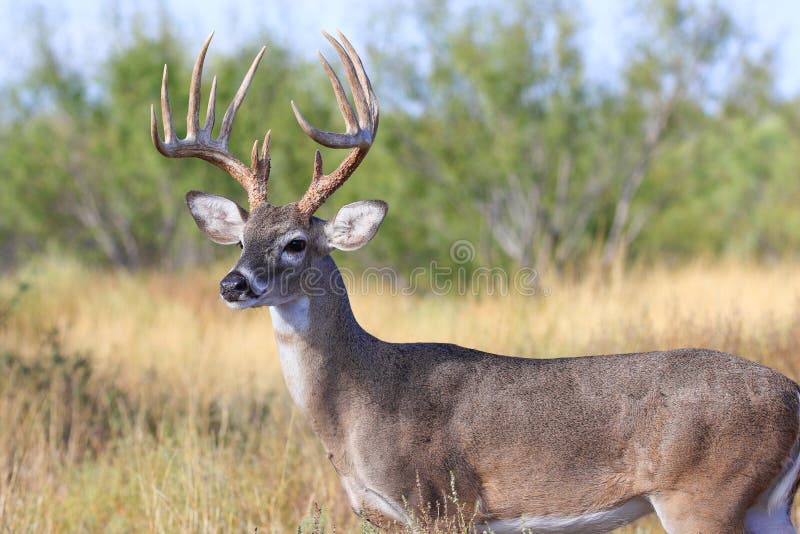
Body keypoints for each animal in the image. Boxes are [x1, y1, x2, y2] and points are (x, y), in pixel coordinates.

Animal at [152, 33, 800, 534]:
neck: (357, 402)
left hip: (703, 496)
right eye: (241, 239)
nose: (233, 284)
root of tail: (794, 394)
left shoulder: (444, 501)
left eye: (295, 243)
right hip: (763, 507)